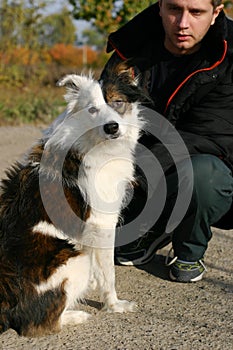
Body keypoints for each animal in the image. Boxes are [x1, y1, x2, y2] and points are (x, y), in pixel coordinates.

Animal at [0, 64, 148, 338]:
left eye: (118, 102)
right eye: (92, 109)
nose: (112, 128)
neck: (91, 141)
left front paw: (95, 284)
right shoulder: (102, 222)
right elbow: (109, 273)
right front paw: (114, 305)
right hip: (74, 260)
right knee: (38, 323)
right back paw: (76, 316)